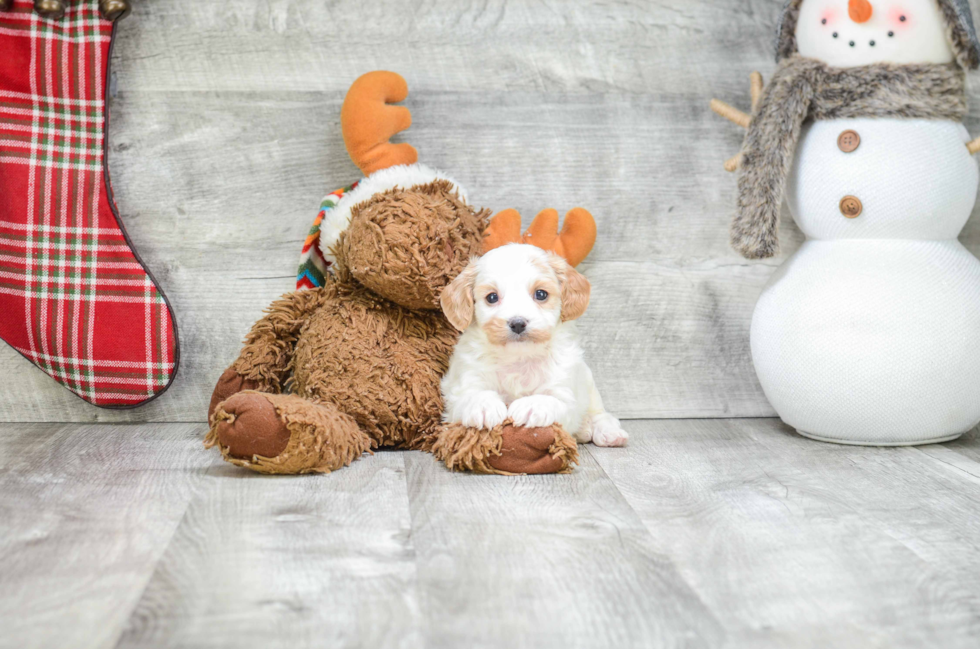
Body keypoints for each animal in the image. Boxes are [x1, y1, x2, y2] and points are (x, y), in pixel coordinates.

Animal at [438, 243, 628, 446]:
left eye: (541, 294)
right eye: (492, 297)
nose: (518, 323)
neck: (518, 357)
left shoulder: (565, 393)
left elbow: (552, 400)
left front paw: (531, 406)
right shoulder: (464, 383)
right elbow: (470, 395)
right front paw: (484, 406)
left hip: (590, 386)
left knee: (601, 414)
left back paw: (608, 432)